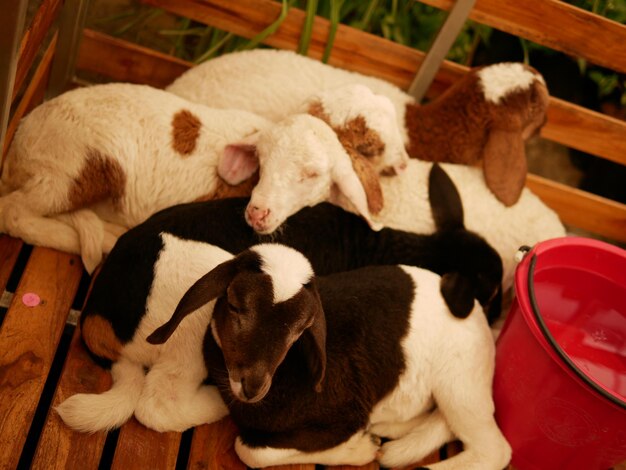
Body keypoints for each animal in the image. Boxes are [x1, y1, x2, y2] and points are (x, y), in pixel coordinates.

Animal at [1, 81, 404, 272]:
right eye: (263, 161)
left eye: (311, 173)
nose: (257, 212)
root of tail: (17, 149)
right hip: (71, 169)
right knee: (16, 213)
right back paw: (100, 239)